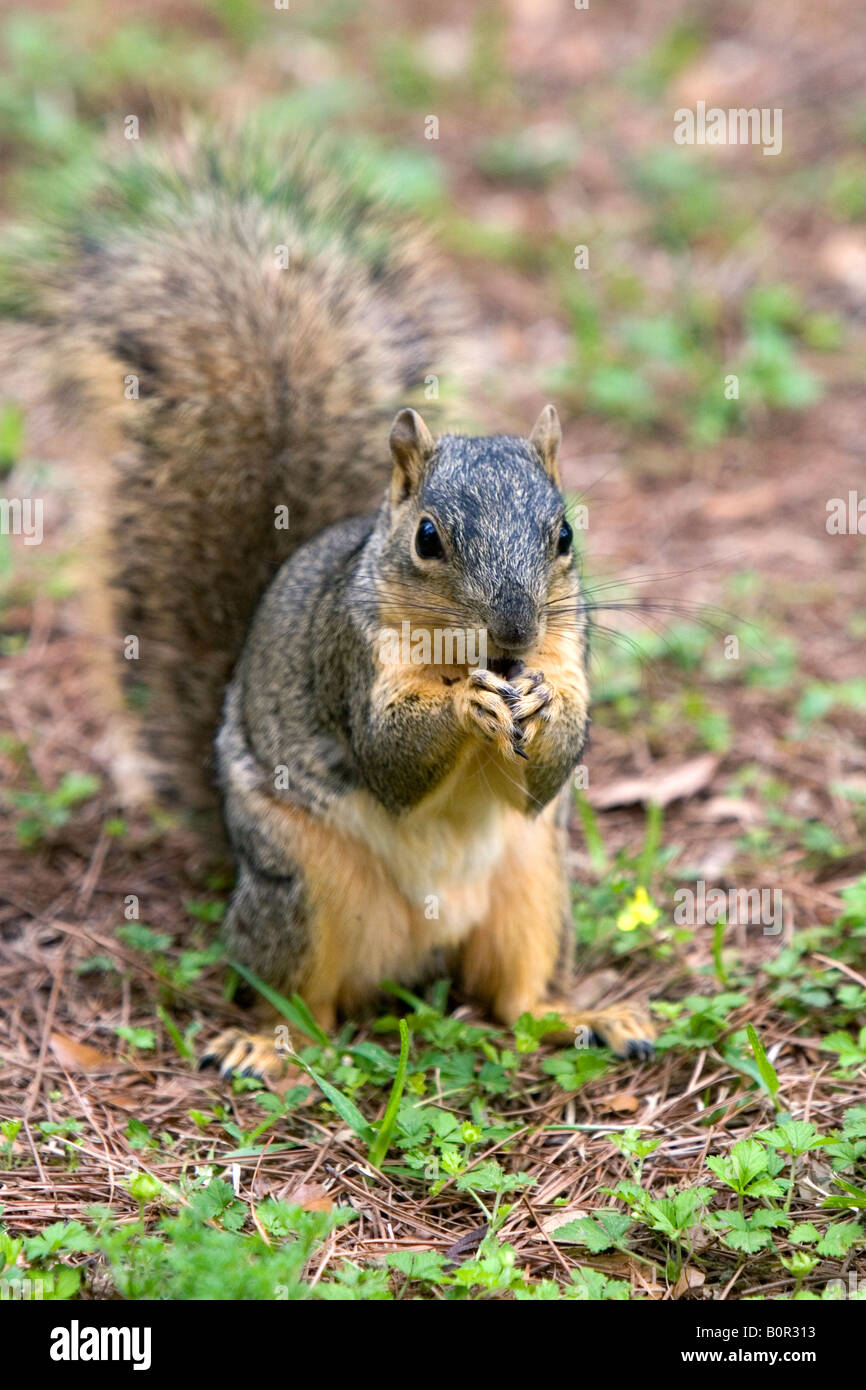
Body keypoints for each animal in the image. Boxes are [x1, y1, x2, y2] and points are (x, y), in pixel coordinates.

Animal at [38, 135, 656, 1073]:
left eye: (565, 535)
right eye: (429, 537)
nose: (514, 633)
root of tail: (418, 946)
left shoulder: (567, 652)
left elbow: (551, 769)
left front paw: (543, 704)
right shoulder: (351, 655)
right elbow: (387, 755)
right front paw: (467, 707)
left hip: (535, 888)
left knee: (513, 1000)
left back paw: (584, 1015)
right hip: (300, 888)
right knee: (305, 1006)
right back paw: (266, 1046)